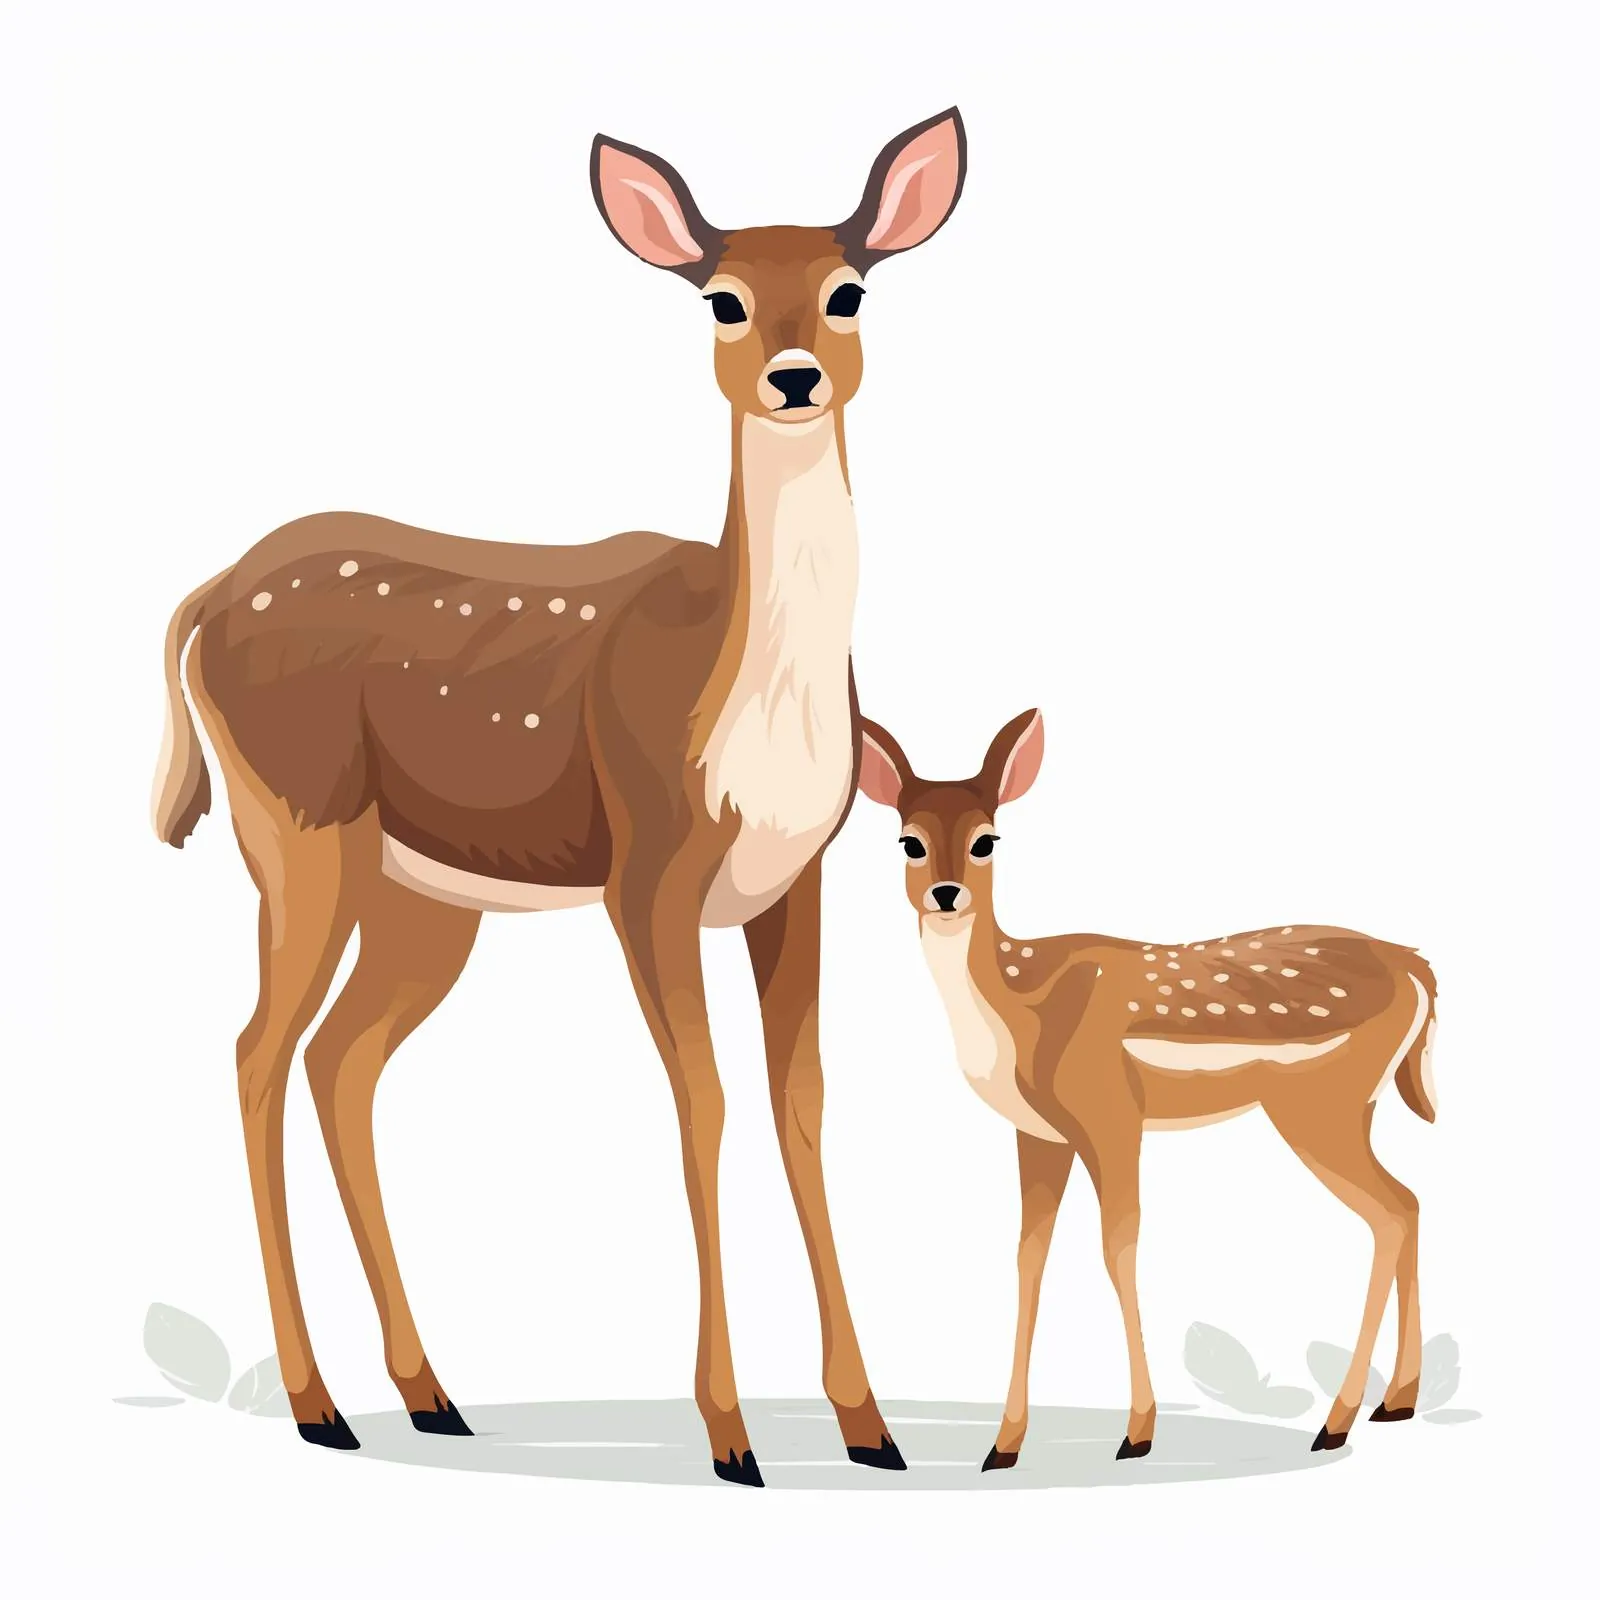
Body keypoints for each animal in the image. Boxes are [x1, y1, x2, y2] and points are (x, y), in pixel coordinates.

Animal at [151, 109, 967, 1487]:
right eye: (721, 300)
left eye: (848, 291)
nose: (794, 375)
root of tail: (204, 597)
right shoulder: (649, 868)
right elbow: (703, 1103)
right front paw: (730, 1436)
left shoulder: (791, 880)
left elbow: (800, 1105)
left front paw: (870, 1427)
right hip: (294, 829)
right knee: (258, 1048)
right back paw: (320, 1404)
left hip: (424, 898)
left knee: (339, 1060)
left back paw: (429, 1392)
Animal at [854, 709, 1439, 1471]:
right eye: (909, 840)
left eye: (987, 840)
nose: (945, 893)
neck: (1018, 1007)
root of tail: (1419, 968)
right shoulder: (1038, 1132)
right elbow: (1028, 1257)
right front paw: (1003, 1445)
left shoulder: (1109, 1111)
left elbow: (1119, 1245)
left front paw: (1138, 1433)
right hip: (1356, 1105)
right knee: (1410, 1202)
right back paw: (1395, 1402)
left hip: (1320, 1104)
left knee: (1390, 1213)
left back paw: (1336, 1422)